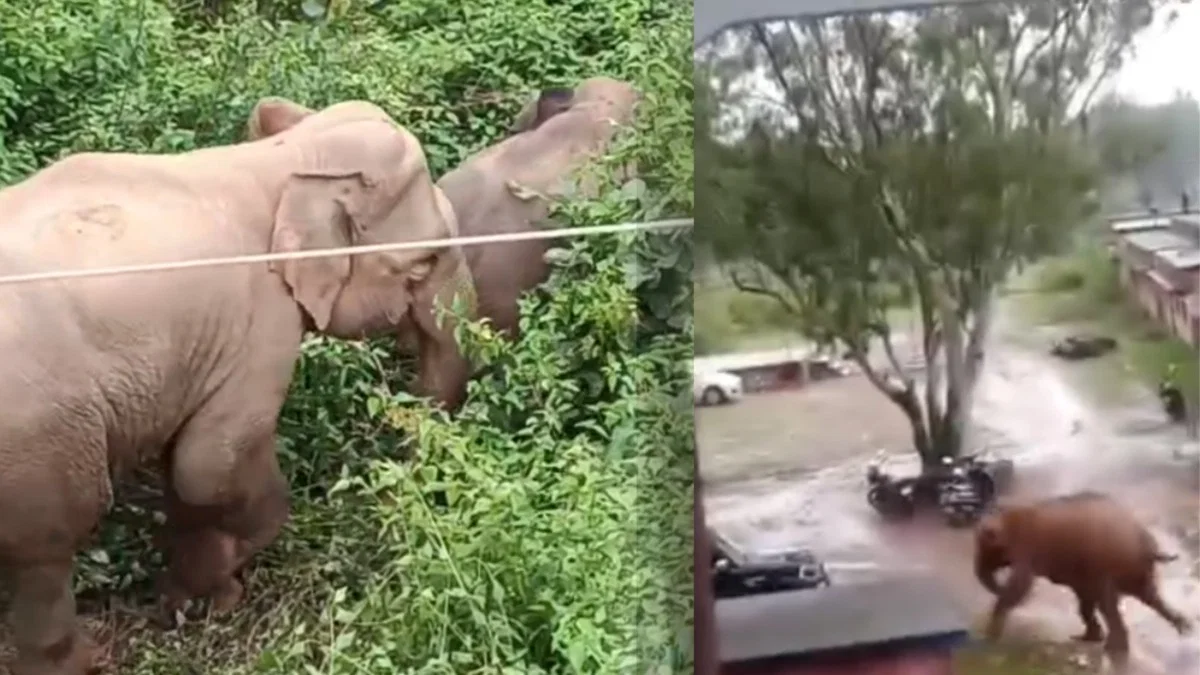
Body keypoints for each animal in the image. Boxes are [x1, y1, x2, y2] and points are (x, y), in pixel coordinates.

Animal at [0, 98, 474, 675]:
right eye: (422, 264)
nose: (403, 450)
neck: (281, 163)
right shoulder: (260, 320)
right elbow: (210, 462)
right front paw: (215, 591)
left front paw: (187, 598)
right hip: (38, 441)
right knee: (48, 547)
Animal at [974, 491, 1191, 668]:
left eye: (985, 546)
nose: (998, 587)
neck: (1008, 516)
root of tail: (1147, 547)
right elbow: (1083, 598)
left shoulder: (1027, 548)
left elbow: (1021, 585)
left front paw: (990, 635)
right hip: (1134, 569)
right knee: (1149, 597)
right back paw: (1185, 628)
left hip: (1112, 563)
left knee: (1109, 604)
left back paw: (1114, 650)